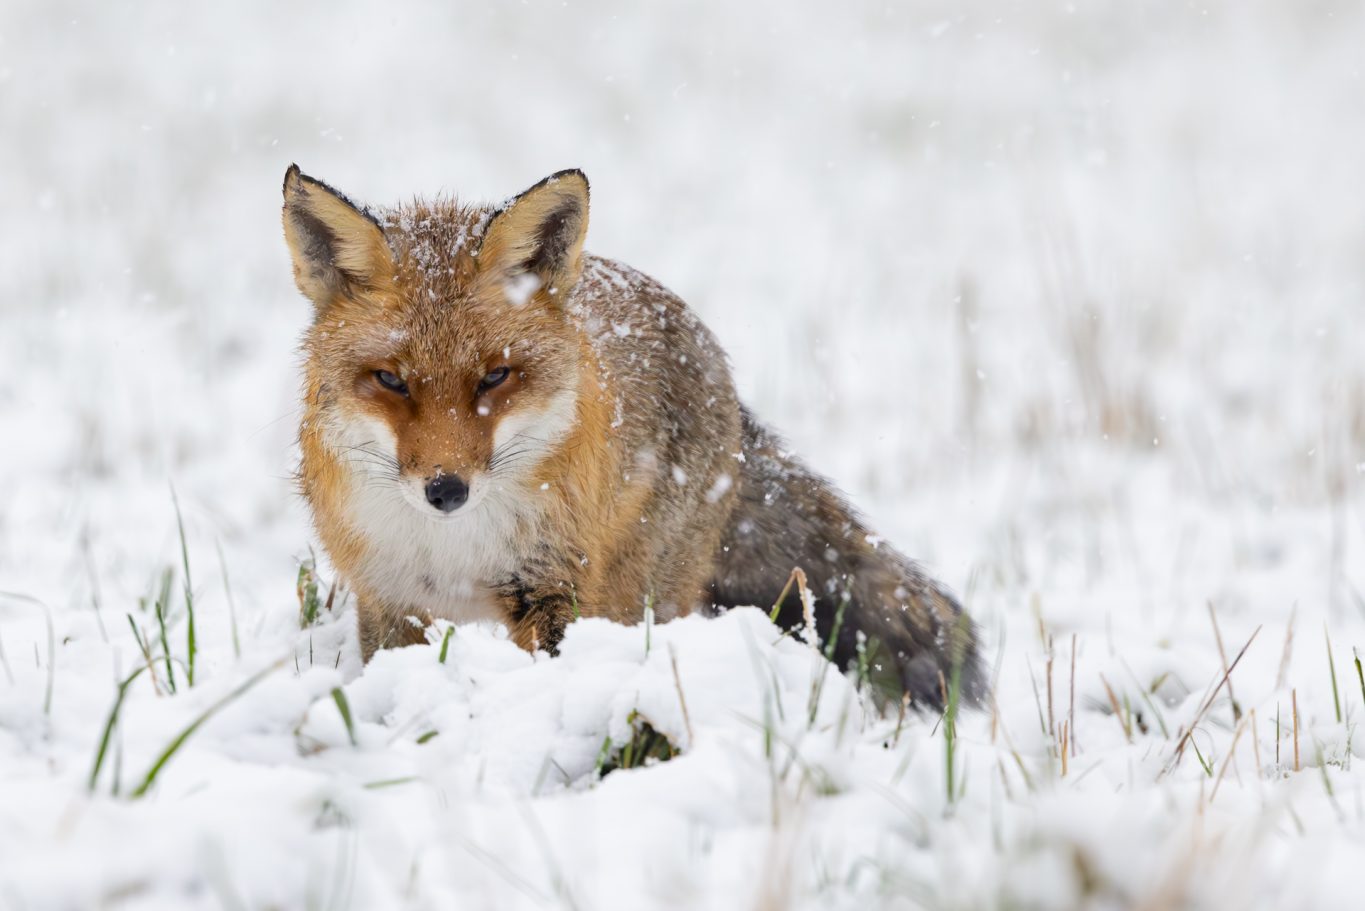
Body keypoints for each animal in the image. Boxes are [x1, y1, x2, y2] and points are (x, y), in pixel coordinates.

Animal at [279, 163, 982, 710]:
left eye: (497, 376)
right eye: (391, 380)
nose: (446, 490)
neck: (454, 549)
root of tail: (722, 371)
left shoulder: (554, 586)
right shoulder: (391, 598)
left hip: (633, 595)